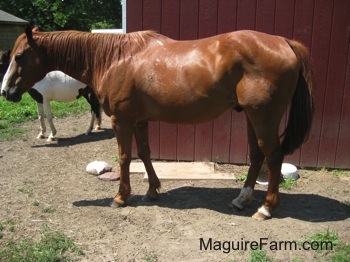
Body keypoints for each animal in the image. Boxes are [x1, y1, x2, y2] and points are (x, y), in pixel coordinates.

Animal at [1, 25, 314, 221]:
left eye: (19, 56)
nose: (6, 92)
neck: (115, 59)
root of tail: (284, 42)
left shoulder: (121, 120)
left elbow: (125, 157)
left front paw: (121, 196)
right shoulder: (139, 120)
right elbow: (145, 154)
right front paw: (152, 191)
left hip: (263, 117)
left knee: (273, 156)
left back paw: (265, 208)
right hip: (251, 116)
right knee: (257, 155)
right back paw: (242, 199)